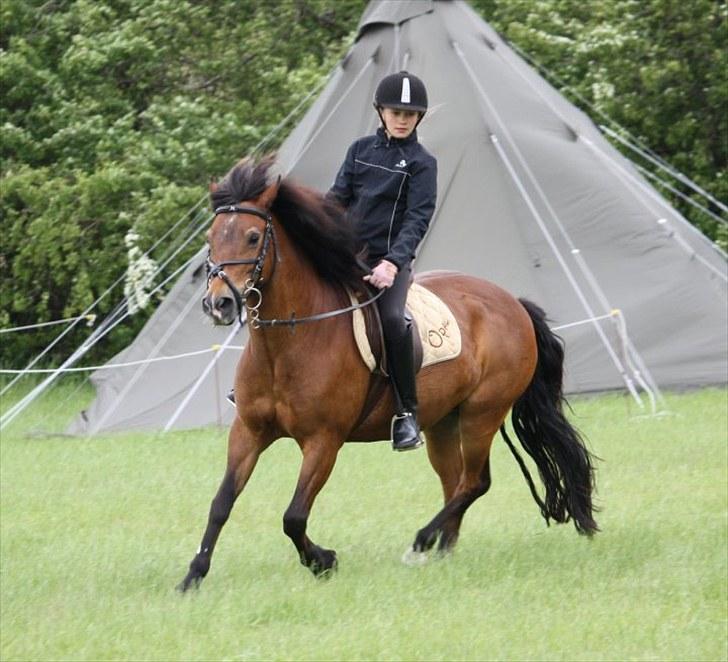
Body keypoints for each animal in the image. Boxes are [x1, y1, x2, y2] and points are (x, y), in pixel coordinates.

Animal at [178, 158, 596, 592]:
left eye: (253, 236)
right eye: (211, 238)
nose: (218, 304)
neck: (288, 342)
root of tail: (513, 302)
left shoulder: (324, 441)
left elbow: (293, 516)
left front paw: (323, 561)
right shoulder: (248, 431)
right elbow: (221, 503)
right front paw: (193, 575)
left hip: (482, 414)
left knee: (475, 482)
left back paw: (420, 543)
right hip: (443, 422)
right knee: (455, 482)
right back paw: (443, 552)